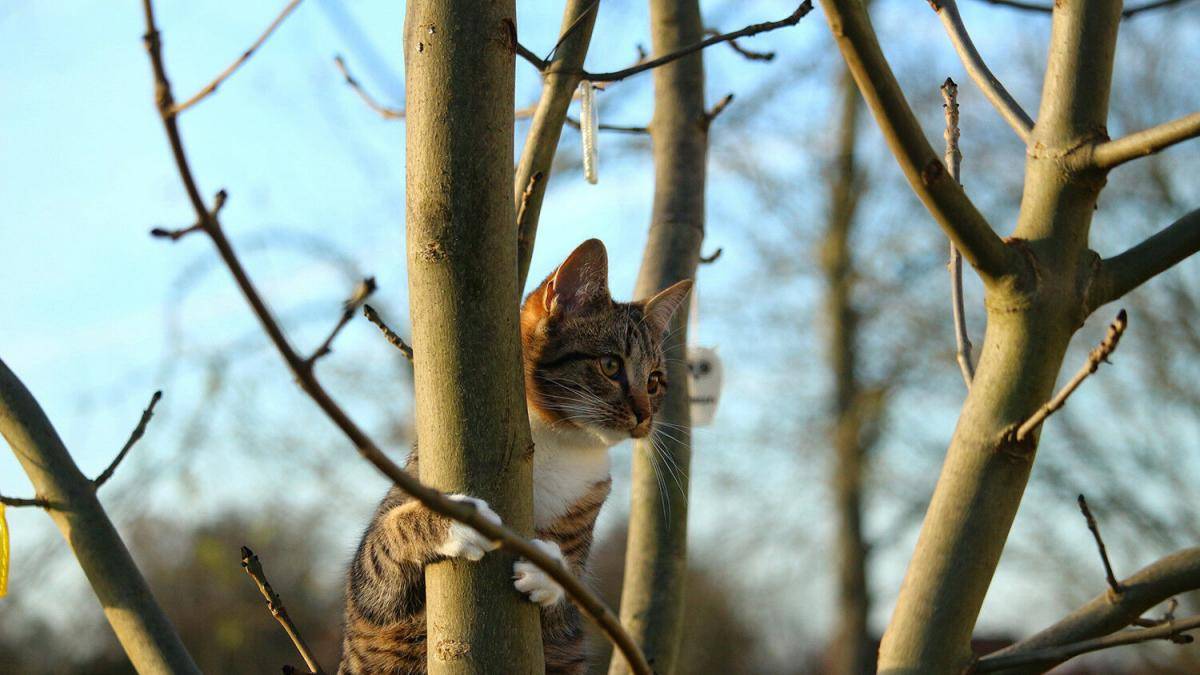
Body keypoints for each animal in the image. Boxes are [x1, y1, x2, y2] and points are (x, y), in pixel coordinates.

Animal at [338, 239, 696, 667]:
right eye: (611, 365)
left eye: (655, 381)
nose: (645, 416)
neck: (562, 443)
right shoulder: (369, 594)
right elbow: (383, 548)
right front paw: (457, 519)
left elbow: (573, 594)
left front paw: (552, 570)